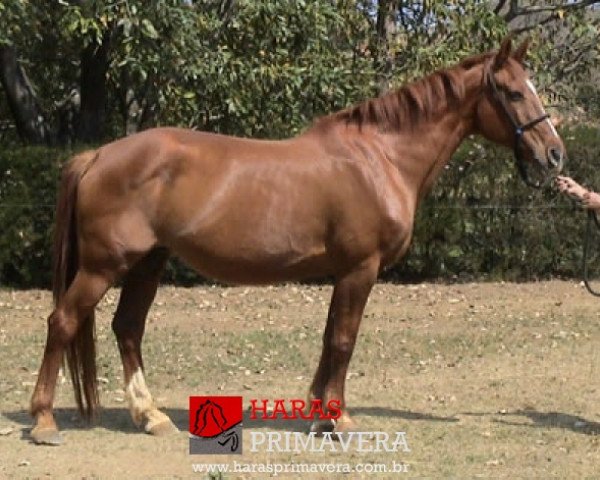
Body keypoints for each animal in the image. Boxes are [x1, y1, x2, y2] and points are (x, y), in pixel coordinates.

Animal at [29, 38, 564, 446]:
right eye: (513, 93)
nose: (555, 155)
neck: (379, 158)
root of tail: (97, 156)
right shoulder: (360, 269)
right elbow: (345, 340)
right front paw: (338, 419)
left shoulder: (344, 271)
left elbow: (330, 339)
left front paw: (317, 413)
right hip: (103, 266)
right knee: (63, 321)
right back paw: (44, 420)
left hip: (147, 263)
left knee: (127, 328)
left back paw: (151, 416)